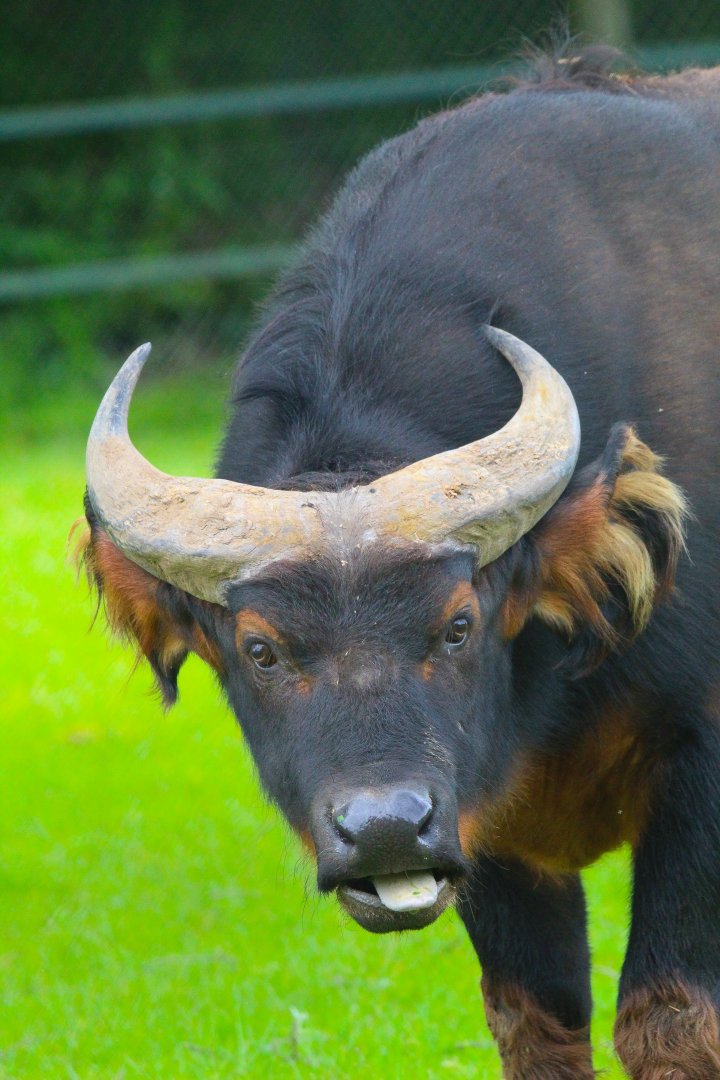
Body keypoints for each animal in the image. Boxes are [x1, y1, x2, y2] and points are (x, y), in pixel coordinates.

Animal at [79, 47, 720, 1079]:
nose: (384, 828)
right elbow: (537, 1022)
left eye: (459, 625)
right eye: (259, 649)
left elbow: (669, 1017)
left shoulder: (702, 760)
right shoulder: (491, 831)